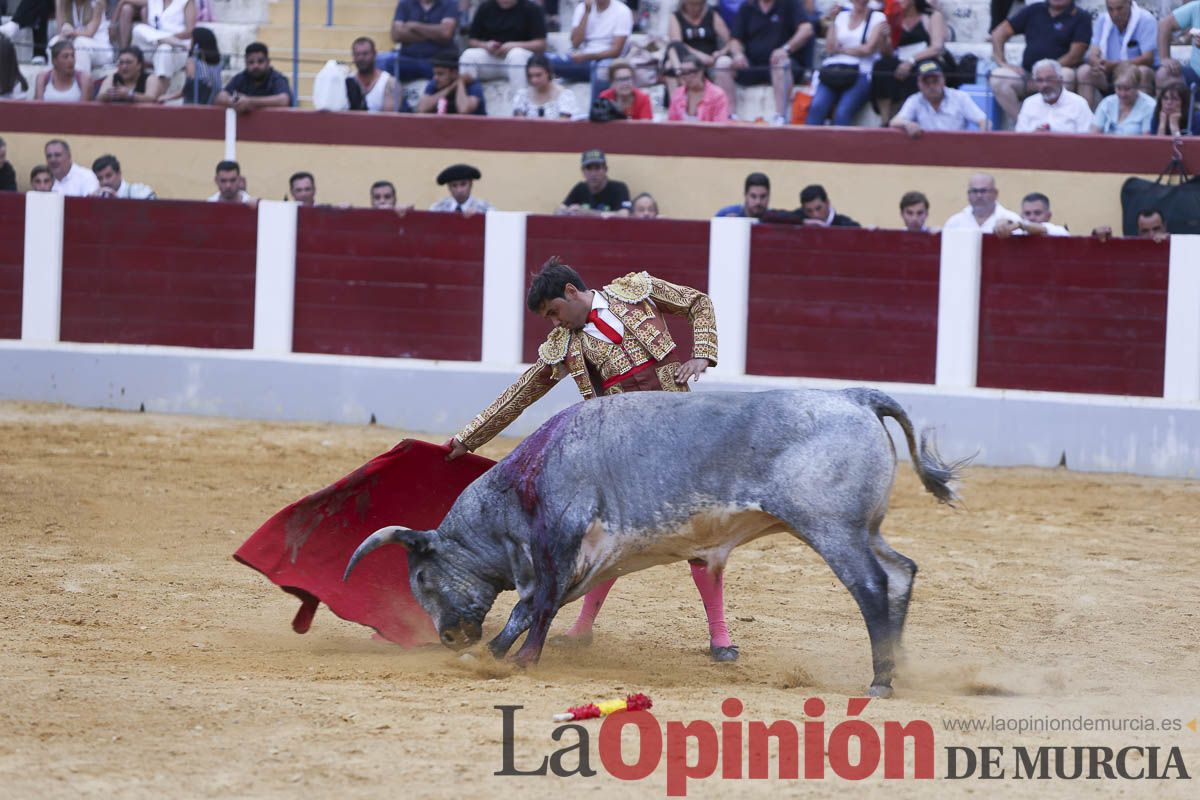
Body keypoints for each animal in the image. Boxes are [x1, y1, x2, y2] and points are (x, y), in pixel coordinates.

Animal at [348, 388, 964, 695]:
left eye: (422, 577)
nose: (449, 637)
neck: (524, 483)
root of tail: (855, 398)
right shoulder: (582, 558)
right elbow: (540, 606)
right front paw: (503, 655)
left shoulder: (560, 541)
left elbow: (535, 605)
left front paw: (510, 660)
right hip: (864, 529)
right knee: (901, 570)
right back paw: (900, 669)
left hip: (832, 529)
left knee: (871, 585)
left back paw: (880, 680)